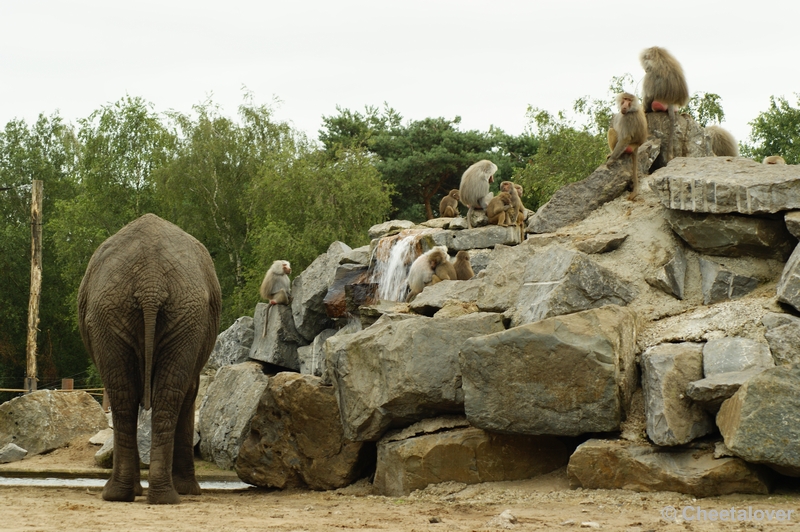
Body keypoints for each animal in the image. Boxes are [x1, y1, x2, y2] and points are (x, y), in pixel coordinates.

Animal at [78, 213, 222, 502]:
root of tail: (150, 281)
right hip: (149, 310)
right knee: (146, 395)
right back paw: (148, 495)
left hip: (149, 311)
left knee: (130, 396)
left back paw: (141, 495)